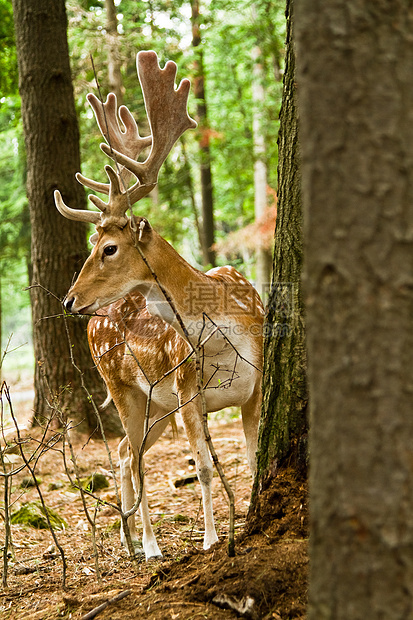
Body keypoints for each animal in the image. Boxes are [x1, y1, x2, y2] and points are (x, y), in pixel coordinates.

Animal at [54, 50, 264, 560]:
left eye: (109, 248)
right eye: (94, 243)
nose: (70, 299)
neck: (227, 337)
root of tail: (95, 324)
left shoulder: (256, 384)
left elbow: (252, 460)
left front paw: (249, 517)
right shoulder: (188, 390)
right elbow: (204, 468)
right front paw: (211, 539)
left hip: (156, 408)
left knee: (125, 456)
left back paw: (130, 540)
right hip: (125, 390)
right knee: (129, 458)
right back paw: (147, 545)